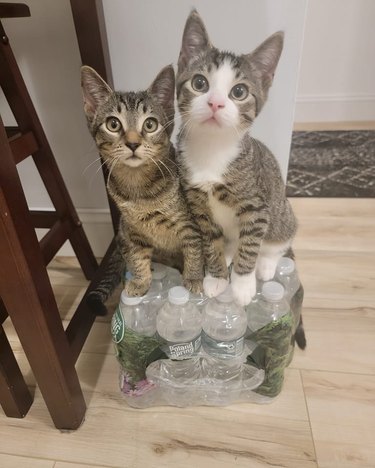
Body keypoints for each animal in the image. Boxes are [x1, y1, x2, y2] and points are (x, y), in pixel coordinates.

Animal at [81, 64, 203, 298]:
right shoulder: (133, 233)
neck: (139, 190)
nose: (132, 143)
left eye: (150, 124)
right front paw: (140, 281)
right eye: (113, 124)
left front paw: (194, 278)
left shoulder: (190, 225)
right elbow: (137, 257)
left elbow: (194, 249)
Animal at [178, 10, 298, 308]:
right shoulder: (197, 203)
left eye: (239, 92)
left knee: (276, 242)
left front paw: (242, 286)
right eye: (200, 83)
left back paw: (265, 265)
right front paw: (217, 277)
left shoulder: (257, 206)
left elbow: (251, 246)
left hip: (280, 213)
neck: (212, 150)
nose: (215, 103)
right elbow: (210, 241)